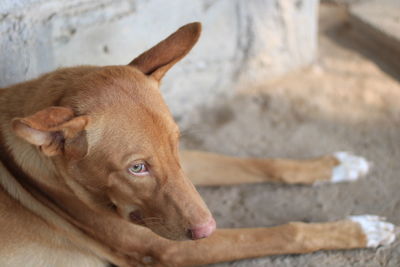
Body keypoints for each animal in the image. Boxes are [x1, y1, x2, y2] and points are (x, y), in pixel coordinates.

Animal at [0, 22, 394, 267]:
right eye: (136, 168)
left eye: (176, 145)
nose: (208, 229)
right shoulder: (165, 248)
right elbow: (285, 232)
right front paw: (359, 229)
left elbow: (256, 163)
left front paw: (334, 165)